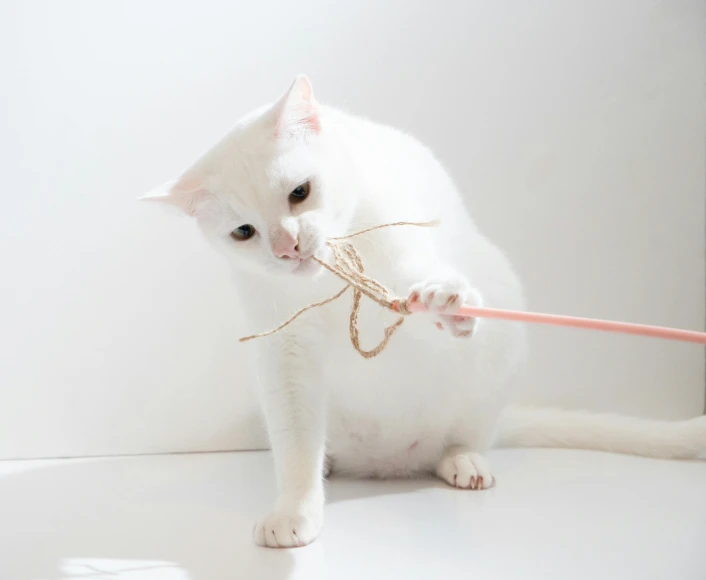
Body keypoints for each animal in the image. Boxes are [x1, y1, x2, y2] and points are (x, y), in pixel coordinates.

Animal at [143, 75, 704, 548]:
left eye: (299, 192)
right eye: (244, 232)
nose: (287, 248)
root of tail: (385, 464)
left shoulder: (404, 250)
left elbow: (419, 286)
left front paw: (445, 301)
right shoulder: (283, 355)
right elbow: (297, 449)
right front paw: (294, 510)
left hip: (498, 355)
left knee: (465, 436)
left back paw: (465, 462)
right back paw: (331, 464)